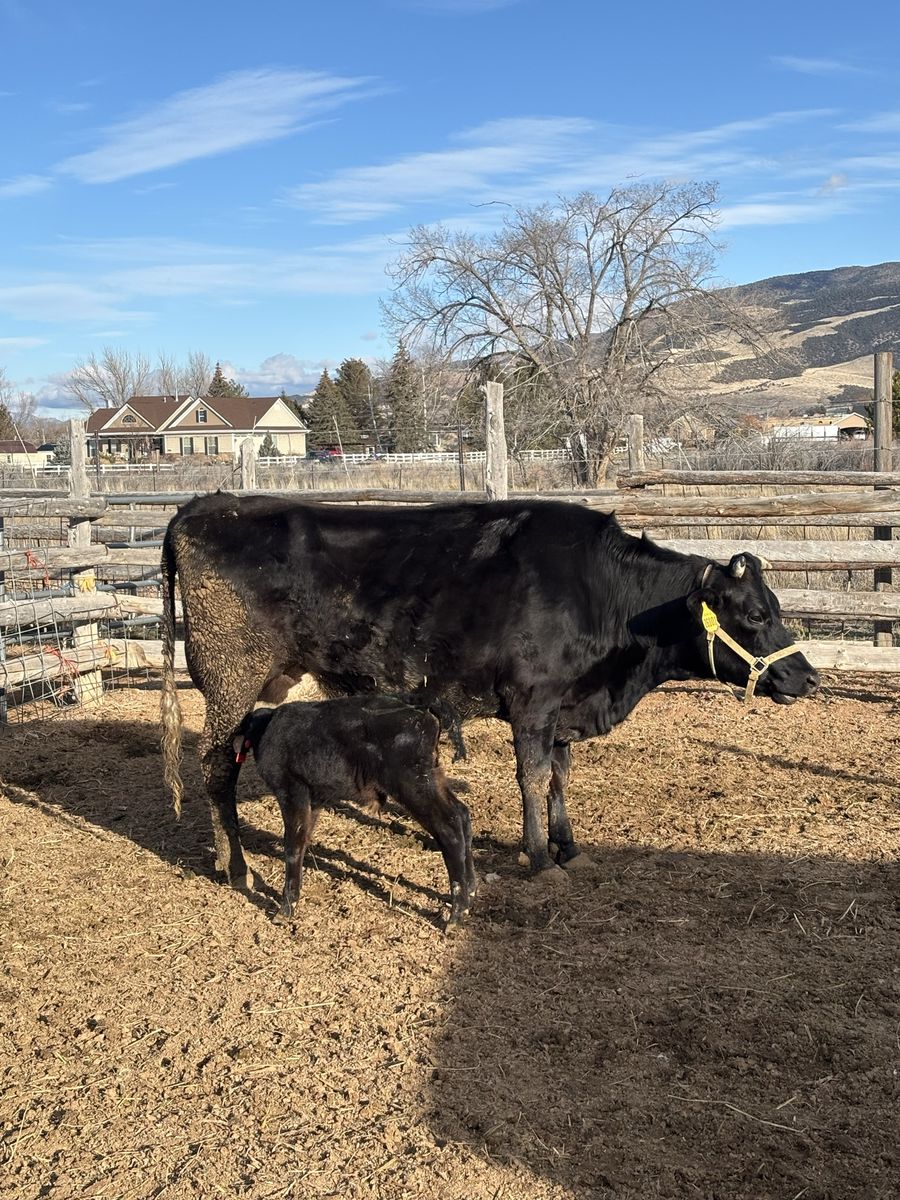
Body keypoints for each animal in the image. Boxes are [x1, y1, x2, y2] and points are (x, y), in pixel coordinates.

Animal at [160, 493, 818, 893]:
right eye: (756, 613)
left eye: (775, 606)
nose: (809, 677)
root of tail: (205, 506)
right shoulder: (534, 702)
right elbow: (532, 776)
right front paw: (539, 859)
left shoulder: (563, 708)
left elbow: (560, 776)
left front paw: (569, 846)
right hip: (228, 676)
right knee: (215, 767)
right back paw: (236, 867)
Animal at [234, 694, 475, 926]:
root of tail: (422, 710)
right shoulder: (315, 798)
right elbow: (303, 840)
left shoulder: (292, 791)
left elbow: (293, 845)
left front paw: (285, 909)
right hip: (432, 781)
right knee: (462, 814)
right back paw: (471, 890)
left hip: (414, 788)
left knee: (449, 828)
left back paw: (456, 913)